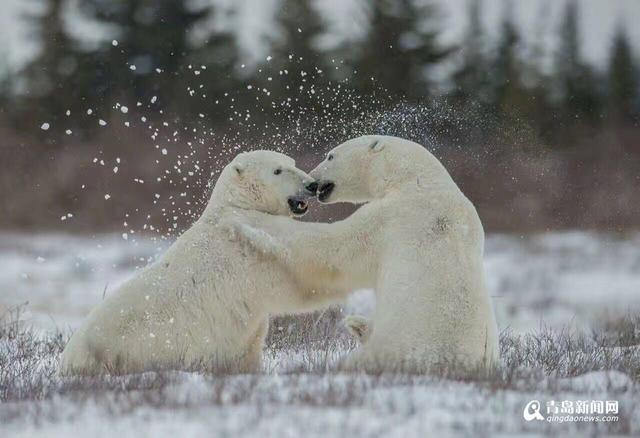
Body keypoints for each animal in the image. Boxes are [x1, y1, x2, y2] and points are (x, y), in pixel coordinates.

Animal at [59, 150, 351, 376]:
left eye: (292, 162)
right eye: (278, 170)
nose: (311, 185)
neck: (233, 204)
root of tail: (68, 358)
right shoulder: (244, 250)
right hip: (131, 348)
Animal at [232, 135, 500, 373]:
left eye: (330, 155)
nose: (313, 180)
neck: (419, 180)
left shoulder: (392, 217)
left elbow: (337, 250)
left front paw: (249, 221)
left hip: (398, 346)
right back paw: (358, 325)